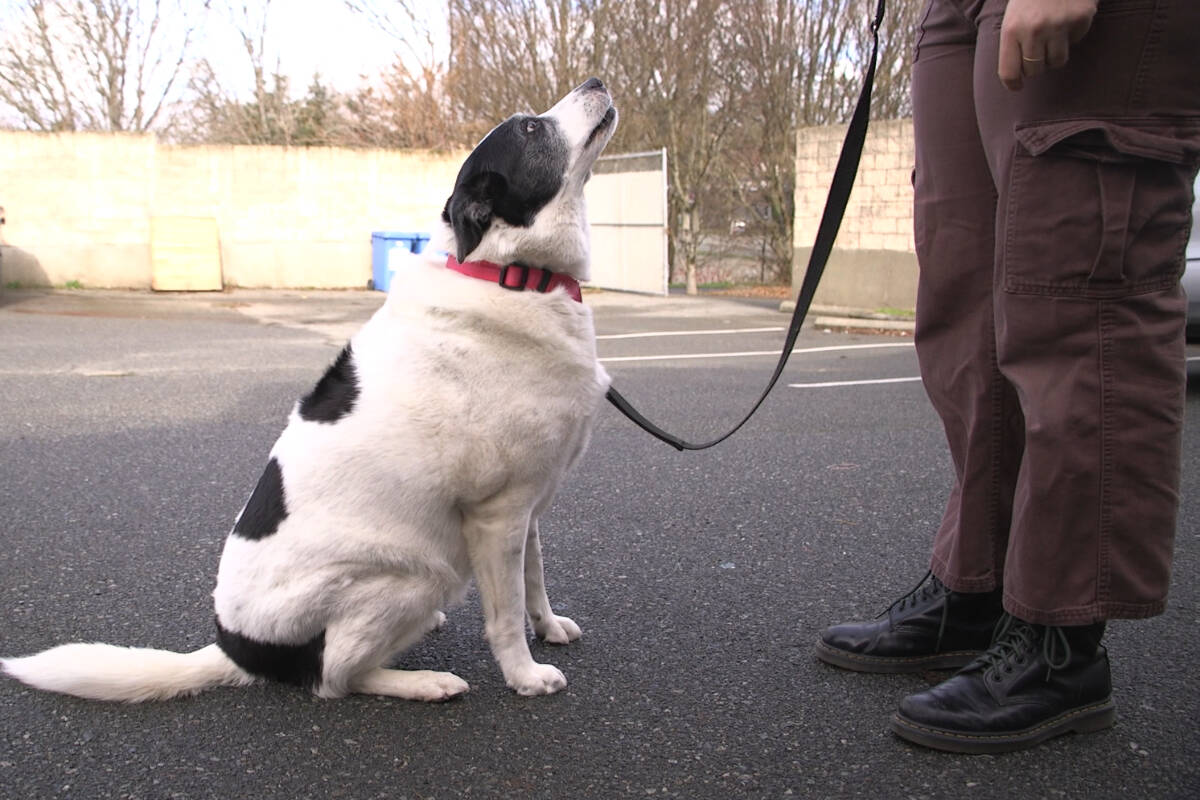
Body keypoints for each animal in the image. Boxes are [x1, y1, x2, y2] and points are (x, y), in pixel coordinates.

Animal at [0, 76, 619, 700]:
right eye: (531, 128)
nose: (595, 81)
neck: (508, 274)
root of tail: (240, 651)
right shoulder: (498, 514)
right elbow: (505, 612)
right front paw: (524, 675)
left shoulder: (529, 507)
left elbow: (534, 582)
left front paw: (548, 627)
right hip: (418, 572)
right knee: (335, 676)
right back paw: (421, 682)